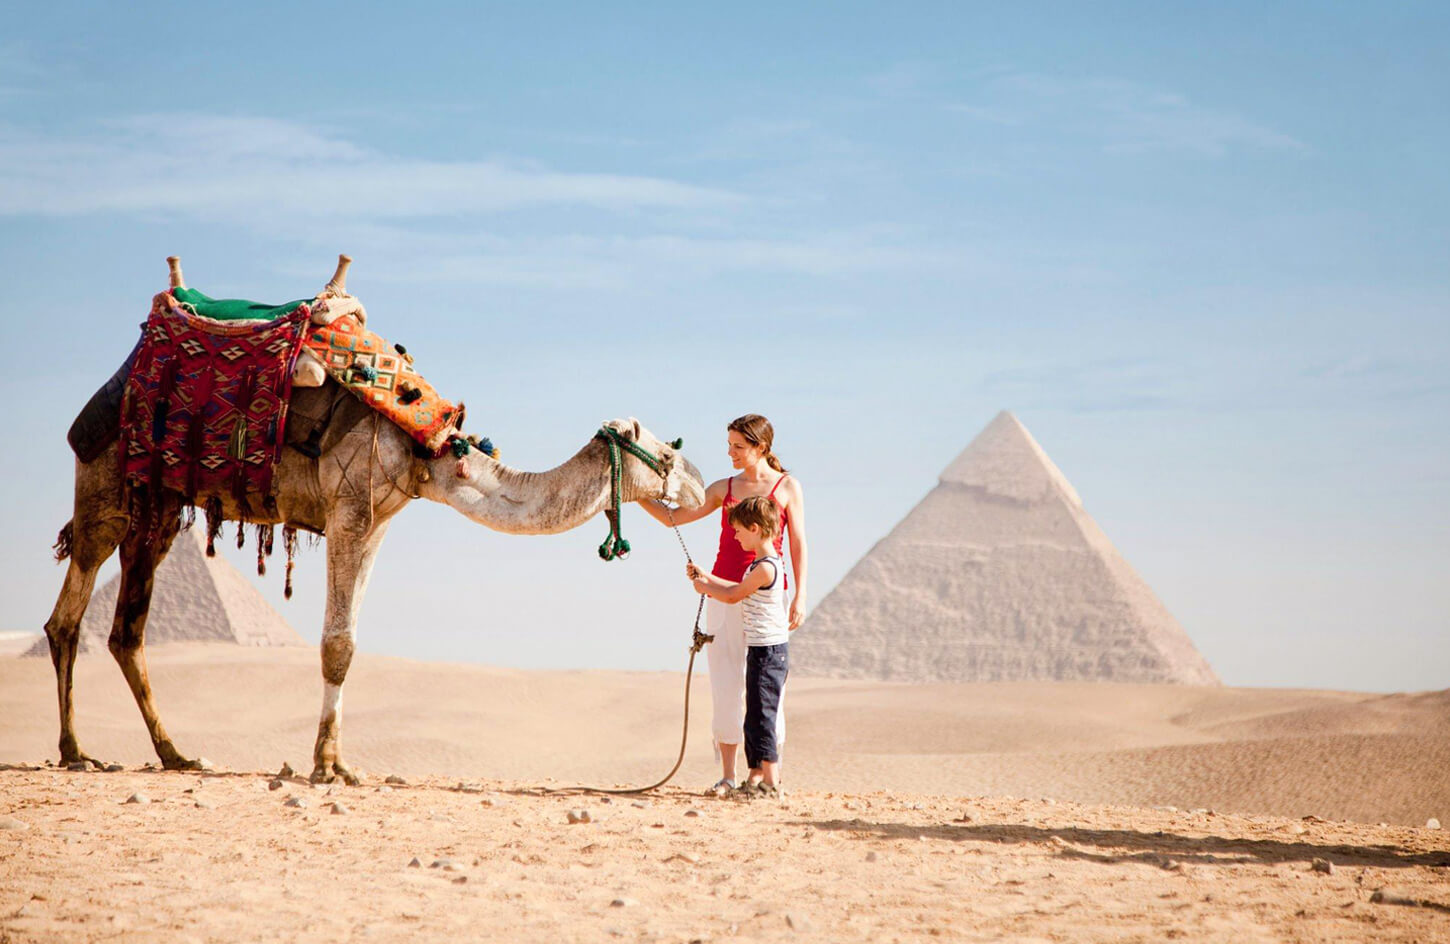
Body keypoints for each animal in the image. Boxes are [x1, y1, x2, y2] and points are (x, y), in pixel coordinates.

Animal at [42, 257, 706, 785]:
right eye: (665, 451)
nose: (700, 483)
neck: (430, 451)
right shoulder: (350, 511)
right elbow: (336, 643)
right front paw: (324, 767)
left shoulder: (379, 522)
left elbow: (352, 641)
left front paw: (339, 762)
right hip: (105, 486)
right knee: (67, 618)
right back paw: (76, 752)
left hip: (158, 505)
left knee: (126, 630)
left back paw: (177, 755)